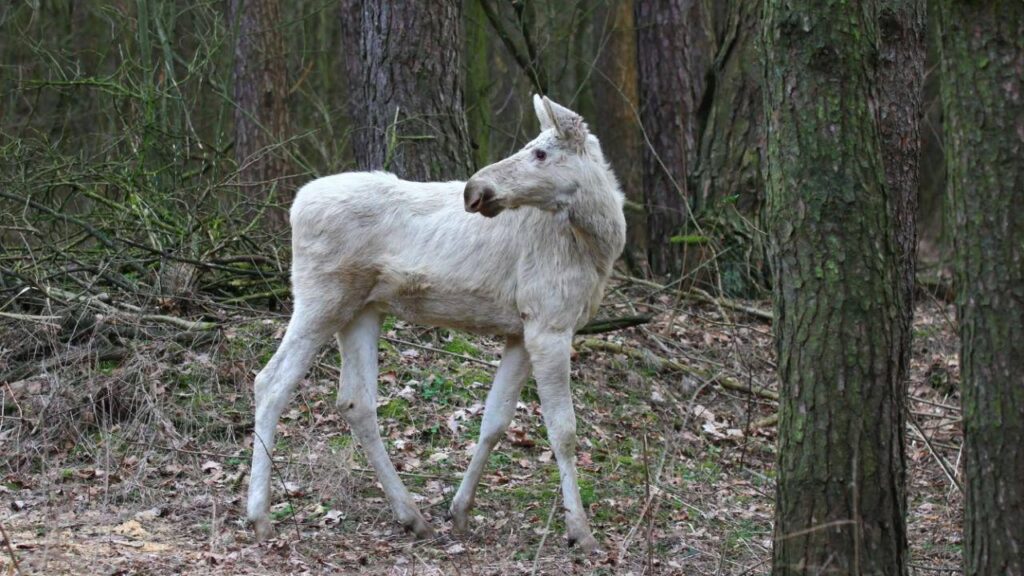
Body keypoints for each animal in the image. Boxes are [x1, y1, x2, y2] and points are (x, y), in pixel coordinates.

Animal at [247, 95, 626, 552]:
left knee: (355, 401)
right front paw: (581, 531)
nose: (475, 189)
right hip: (321, 296)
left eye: (539, 152)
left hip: (361, 310)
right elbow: (563, 430)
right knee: (271, 381)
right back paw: (260, 516)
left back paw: (412, 516)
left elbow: (495, 421)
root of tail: (294, 206)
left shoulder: (520, 331)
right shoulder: (549, 321)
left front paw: (460, 511)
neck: (599, 243)